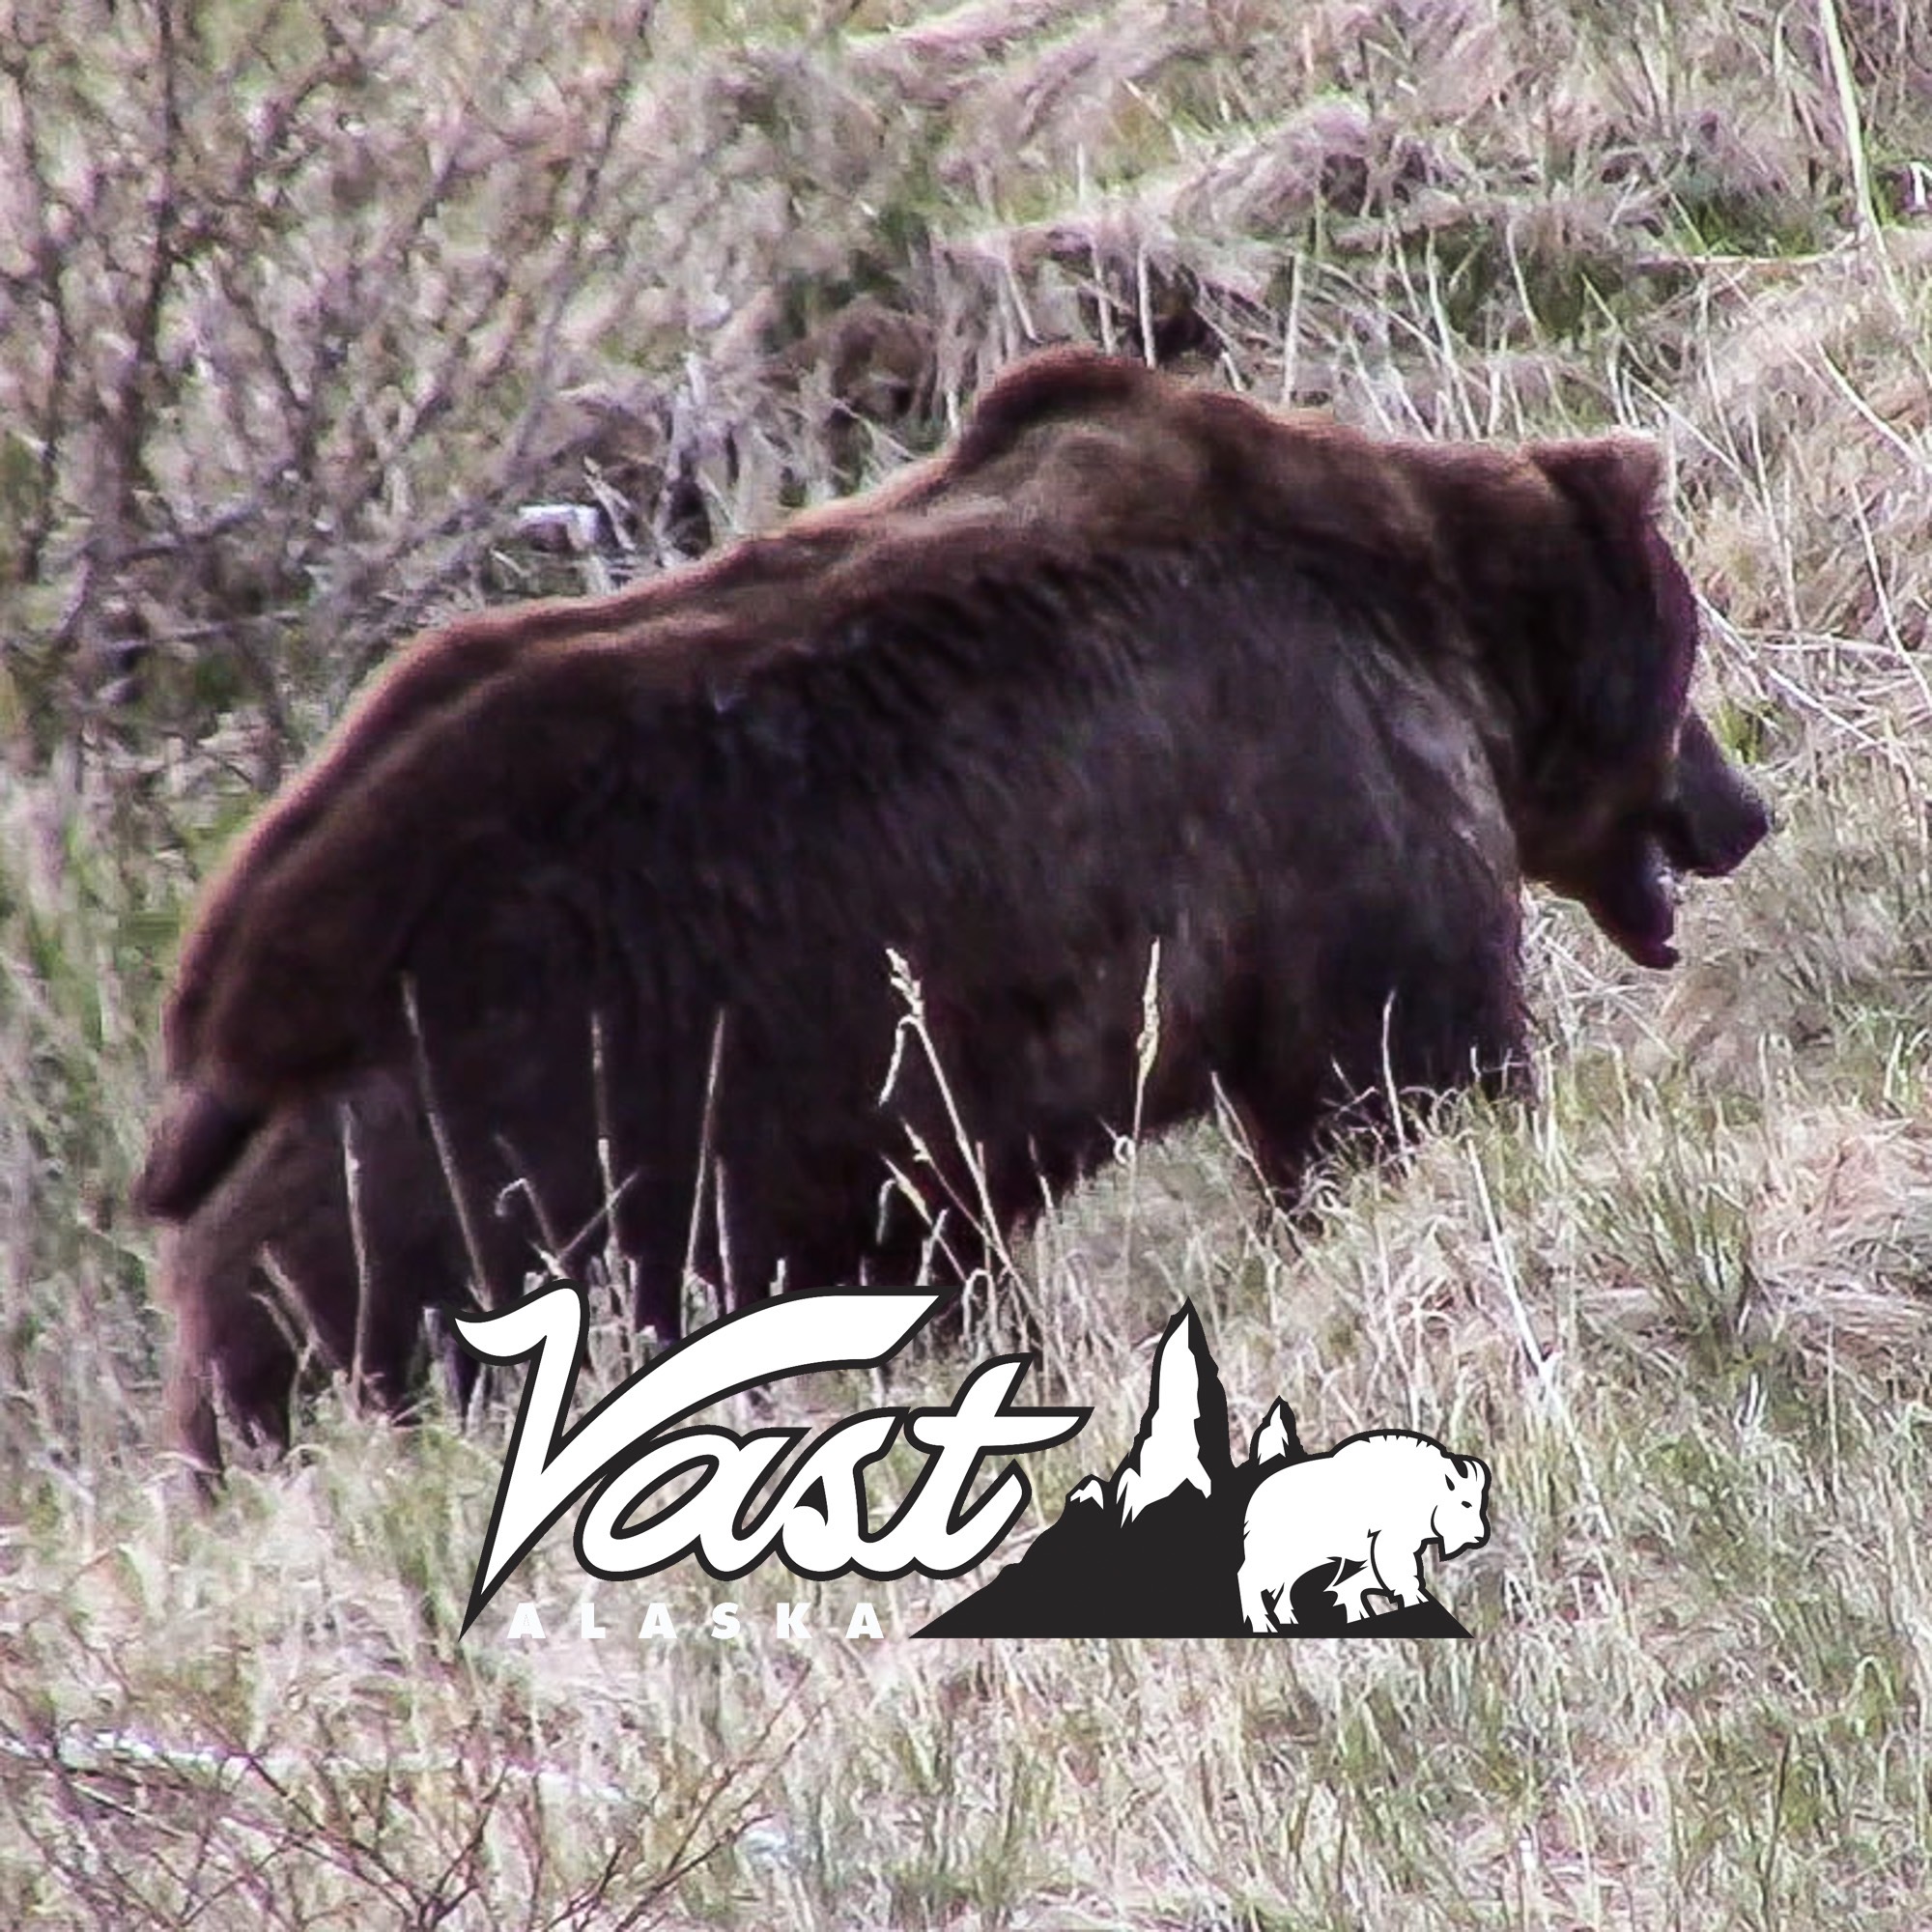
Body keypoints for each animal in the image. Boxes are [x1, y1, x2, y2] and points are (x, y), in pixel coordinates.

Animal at [134, 345, 1769, 1479]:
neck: (1438, 617)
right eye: (1690, 657)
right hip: (481, 1156)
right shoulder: (1322, 784)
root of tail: (220, 1028)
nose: (1743, 810)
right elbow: (1397, 1069)